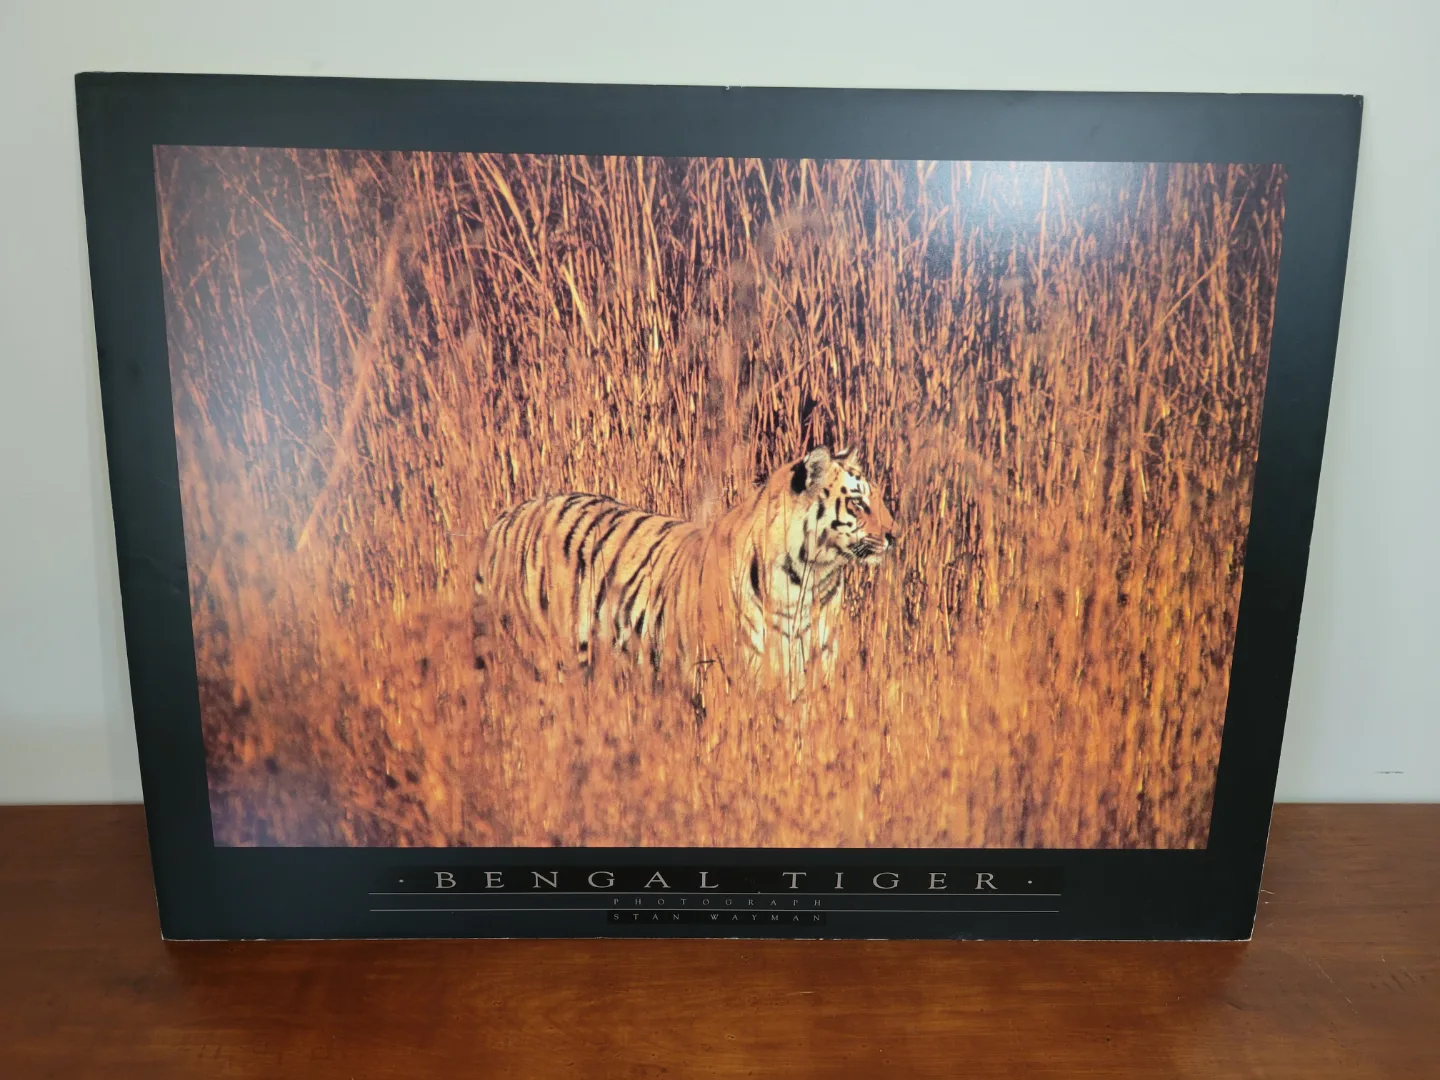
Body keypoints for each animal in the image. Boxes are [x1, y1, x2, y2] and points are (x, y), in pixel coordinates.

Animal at [470, 446, 897, 697]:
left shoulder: (809, 674)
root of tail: (502, 521)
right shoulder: (726, 678)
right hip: (539, 660)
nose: (895, 534)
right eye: (858, 503)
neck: (808, 581)